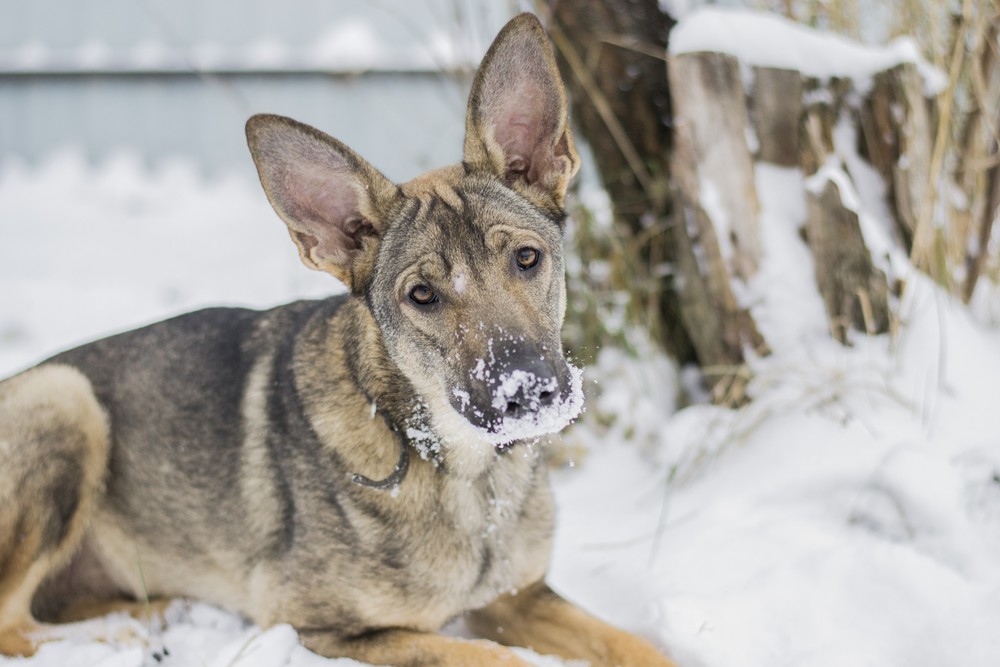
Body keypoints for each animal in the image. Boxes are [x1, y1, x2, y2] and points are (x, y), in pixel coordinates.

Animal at [0, 11, 676, 667]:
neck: (461, 472)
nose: (529, 393)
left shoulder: (519, 598)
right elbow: (492, 658)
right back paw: (121, 636)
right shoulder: (324, 627)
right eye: (422, 295)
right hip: (64, 398)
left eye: (528, 258)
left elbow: (637, 645)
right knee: (13, 624)